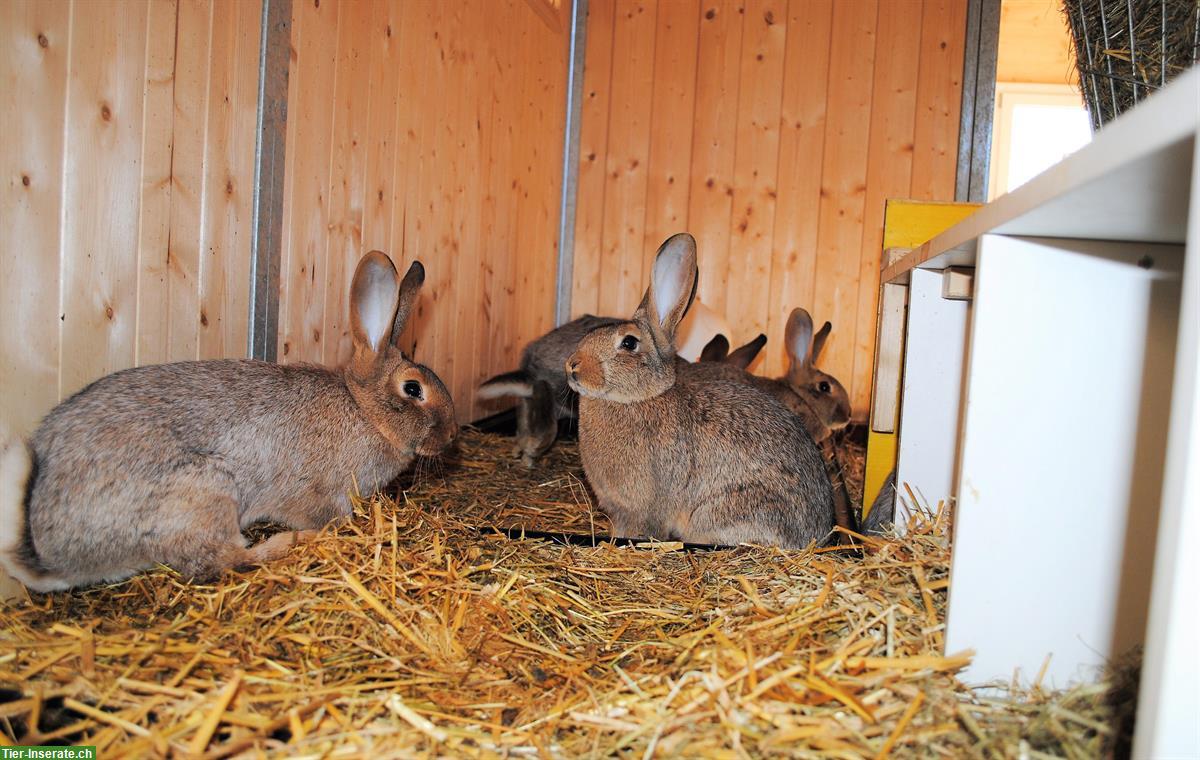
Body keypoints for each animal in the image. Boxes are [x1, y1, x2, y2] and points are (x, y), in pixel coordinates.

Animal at [0, 252, 456, 590]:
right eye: (412, 389)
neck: (364, 410)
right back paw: (288, 543)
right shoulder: (318, 494)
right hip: (206, 490)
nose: (451, 435)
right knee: (223, 561)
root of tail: (51, 552)